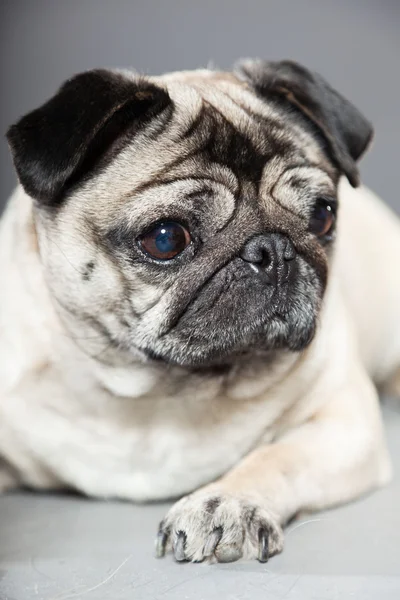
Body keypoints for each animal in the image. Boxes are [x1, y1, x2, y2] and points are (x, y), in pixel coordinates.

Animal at [0, 58, 400, 564]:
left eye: (322, 217)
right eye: (166, 238)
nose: (273, 250)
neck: (161, 391)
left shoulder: (344, 424)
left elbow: (276, 457)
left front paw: (227, 502)